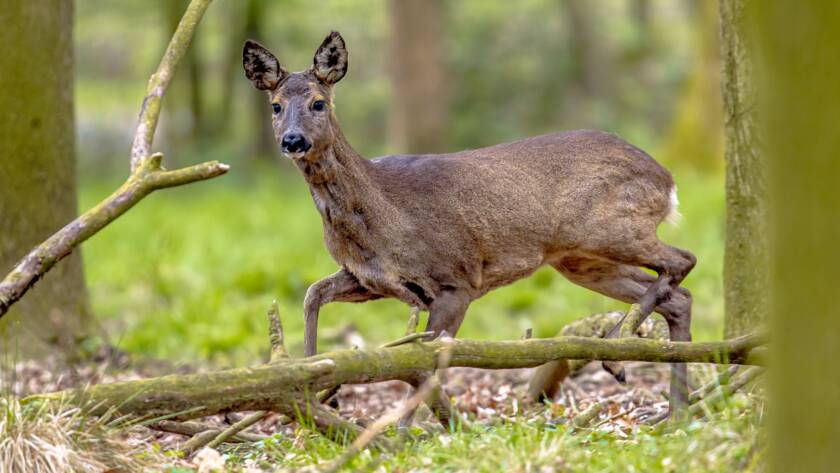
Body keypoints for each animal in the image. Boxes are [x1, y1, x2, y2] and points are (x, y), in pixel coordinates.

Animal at [242, 31, 696, 419]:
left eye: (319, 102)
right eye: (275, 106)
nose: (293, 141)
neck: (380, 217)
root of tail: (668, 179)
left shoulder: (456, 280)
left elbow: (423, 367)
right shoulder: (369, 279)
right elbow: (313, 294)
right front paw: (317, 386)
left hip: (612, 227)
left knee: (683, 259)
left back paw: (617, 355)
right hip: (580, 260)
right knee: (679, 295)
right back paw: (673, 411)